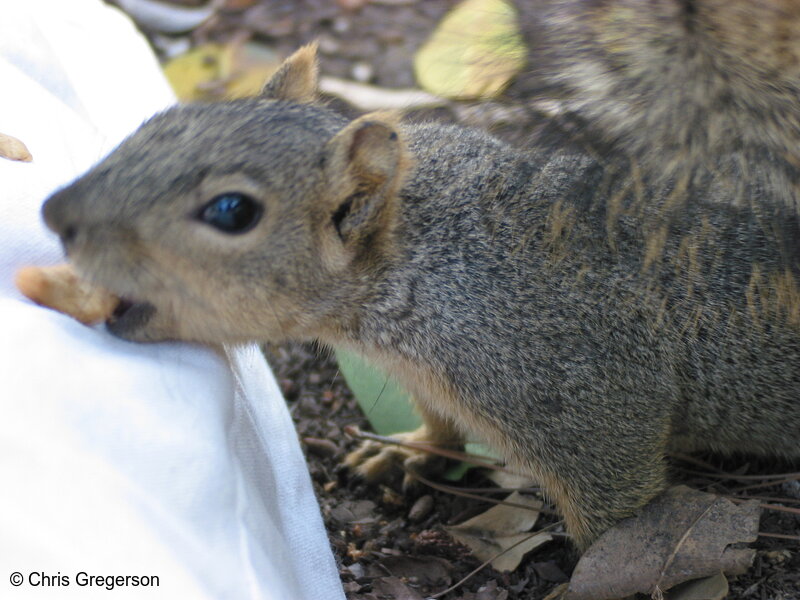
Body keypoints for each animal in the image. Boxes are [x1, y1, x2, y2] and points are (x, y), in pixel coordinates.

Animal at [37, 1, 800, 552]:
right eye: (166, 117)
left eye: (232, 211)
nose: (55, 213)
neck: (420, 259)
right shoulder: (425, 375)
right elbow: (440, 422)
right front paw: (412, 452)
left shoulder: (585, 393)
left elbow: (615, 504)